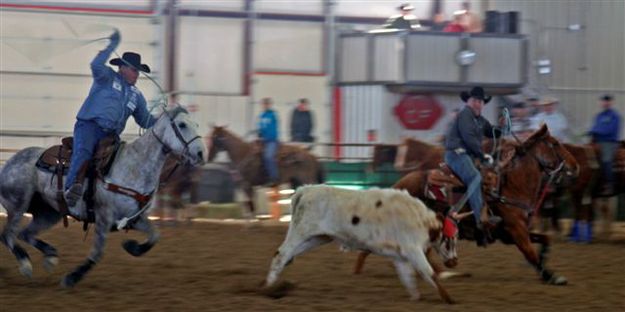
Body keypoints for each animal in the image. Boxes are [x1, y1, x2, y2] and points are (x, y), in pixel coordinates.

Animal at [0, 107, 204, 288]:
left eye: (197, 124)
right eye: (182, 124)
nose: (201, 153)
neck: (134, 166)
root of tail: (9, 163)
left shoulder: (134, 219)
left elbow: (155, 235)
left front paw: (131, 246)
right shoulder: (104, 217)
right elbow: (97, 253)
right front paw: (72, 278)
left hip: (49, 213)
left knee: (24, 234)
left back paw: (50, 257)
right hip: (18, 203)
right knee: (8, 235)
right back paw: (26, 265)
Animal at [354, 125, 576, 286]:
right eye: (555, 143)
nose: (576, 166)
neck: (511, 186)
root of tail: (400, 184)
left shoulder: (512, 233)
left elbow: (545, 240)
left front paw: (544, 268)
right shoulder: (516, 231)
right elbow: (531, 253)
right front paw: (552, 276)